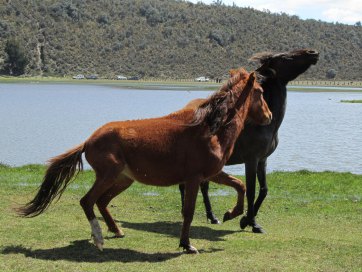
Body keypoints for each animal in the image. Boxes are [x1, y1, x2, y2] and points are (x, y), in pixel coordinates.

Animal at [17, 67, 272, 253]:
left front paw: (232, 214)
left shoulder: (213, 173)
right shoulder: (193, 178)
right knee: (88, 201)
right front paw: (187, 244)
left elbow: (240, 185)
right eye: (260, 92)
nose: (269, 116)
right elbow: (188, 211)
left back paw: (116, 231)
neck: (210, 128)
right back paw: (99, 239)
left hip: (123, 179)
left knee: (102, 201)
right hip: (108, 175)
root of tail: (88, 140)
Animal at [180, 48, 318, 230]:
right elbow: (251, 191)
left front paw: (245, 220)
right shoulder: (251, 160)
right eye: (285, 57)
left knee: (200, 186)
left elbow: (264, 190)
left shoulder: (262, 160)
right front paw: (251, 222)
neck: (262, 124)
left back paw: (212, 217)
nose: (313, 53)